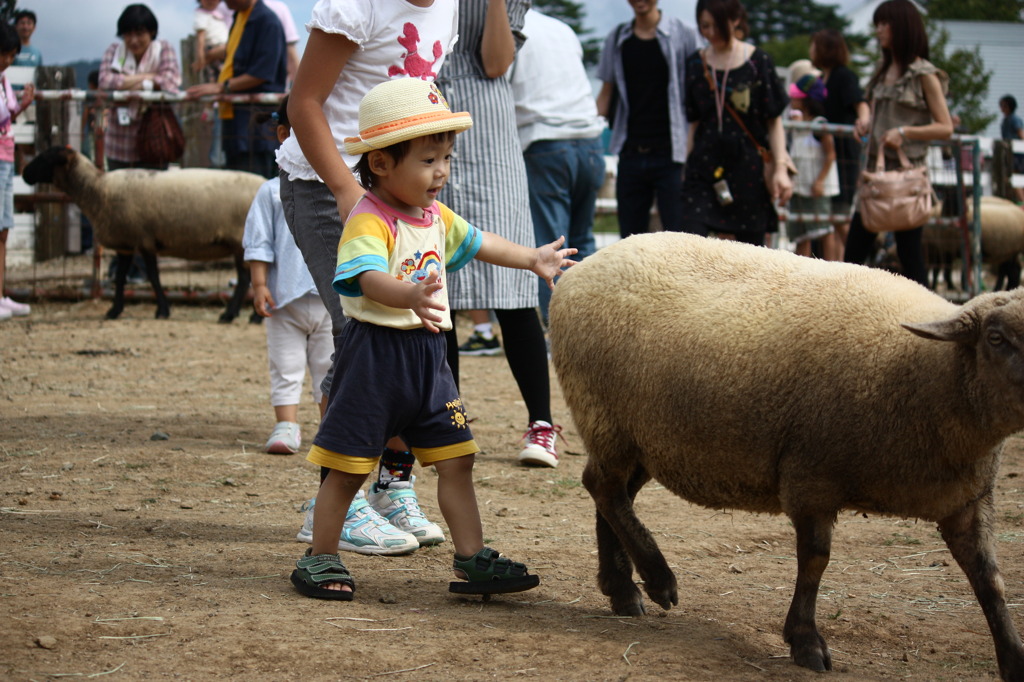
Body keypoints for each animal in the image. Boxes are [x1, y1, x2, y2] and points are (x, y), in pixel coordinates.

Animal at [24, 146, 266, 321]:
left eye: (46, 158)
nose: (25, 174)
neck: (99, 190)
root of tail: (266, 181)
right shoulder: (126, 244)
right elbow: (120, 278)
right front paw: (114, 311)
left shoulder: (145, 239)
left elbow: (153, 277)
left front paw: (162, 310)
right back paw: (243, 315)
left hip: (240, 241)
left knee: (245, 280)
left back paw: (235, 315)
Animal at [548, 231, 1024, 675]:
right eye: (996, 338)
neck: (929, 371)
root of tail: (582, 267)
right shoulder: (811, 475)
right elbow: (814, 559)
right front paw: (806, 641)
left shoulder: (968, 500)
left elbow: (990, 580)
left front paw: (1013, 656)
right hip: (604, 414)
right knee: (604, 488)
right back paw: (657, 579)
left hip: (646, 437)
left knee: (611, 495)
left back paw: (623, 590)